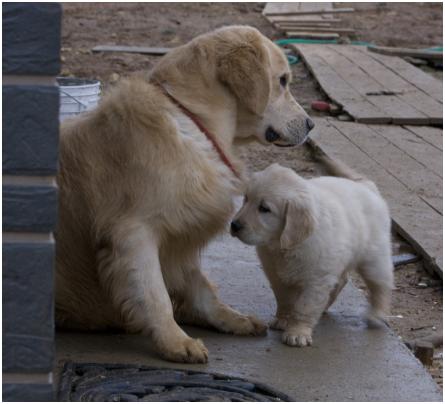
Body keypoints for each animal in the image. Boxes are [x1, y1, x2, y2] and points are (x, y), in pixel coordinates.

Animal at [55, 26, 314, 364]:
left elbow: (201, 287)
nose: (311, 125)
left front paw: (229, 319)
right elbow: (156, 295)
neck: (193, 120)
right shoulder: (134, 233)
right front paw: (174, 341)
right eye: (282, 80)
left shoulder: (182, 234)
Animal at [231, 160, 394, 348]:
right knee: (342, 280)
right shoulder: (275, 274)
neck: (285, 245)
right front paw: (283, 319)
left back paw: (377, 315)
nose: (234, 225)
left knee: (380, 286)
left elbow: (304, 307)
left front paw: (297, 333)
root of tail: (367, 186)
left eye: (264, 209)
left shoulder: (316, 280)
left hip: (374, 258)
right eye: (246, 198)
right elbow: (284, 299)